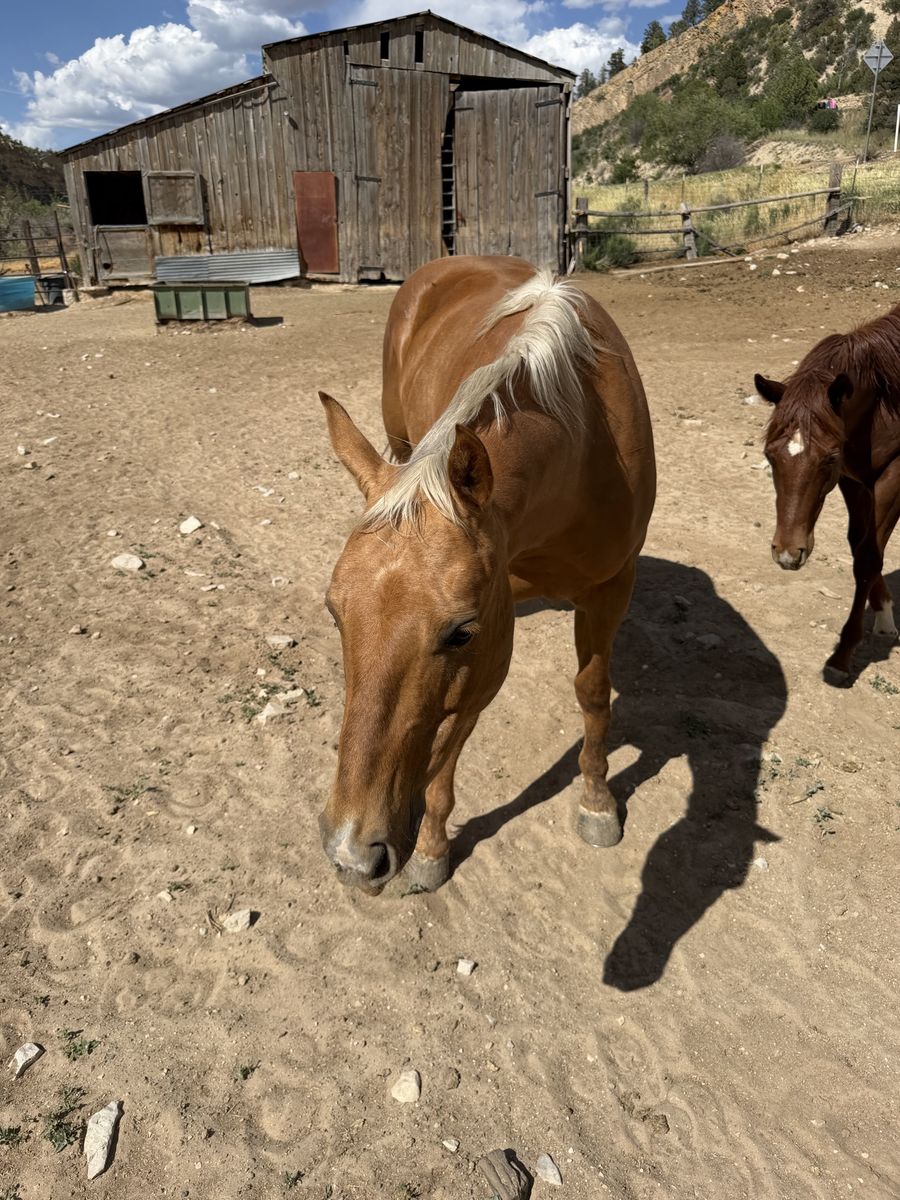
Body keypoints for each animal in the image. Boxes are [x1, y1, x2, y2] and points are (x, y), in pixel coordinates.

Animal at [317, 255, 656, 894]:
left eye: (460, 632)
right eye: (334, 613)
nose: (351, 854)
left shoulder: (606, 590)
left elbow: (593, 693)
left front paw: (597, 801)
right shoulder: (498, 623)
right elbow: (455, 735)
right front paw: (432, 847)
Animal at [754, 303, 900, 682]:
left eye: (829, 457)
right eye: (769, 455)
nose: (787, 554)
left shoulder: (893, 474)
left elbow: (868, 556)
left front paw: (843, 654)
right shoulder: (853, 481)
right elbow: (860, 544)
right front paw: (884, 612)